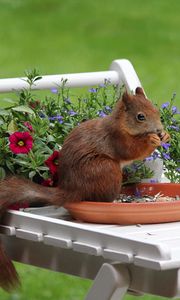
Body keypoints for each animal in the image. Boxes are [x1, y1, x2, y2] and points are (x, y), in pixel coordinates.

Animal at [0, 86, 170, 290]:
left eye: (156, 111)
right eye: (140, 117)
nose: (159, 130)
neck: (121, 124)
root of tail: (71, 190)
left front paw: (165, 135)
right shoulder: (117, 138)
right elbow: (131, 150)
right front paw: (151, 140)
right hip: (106, 168)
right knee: (102, 198)